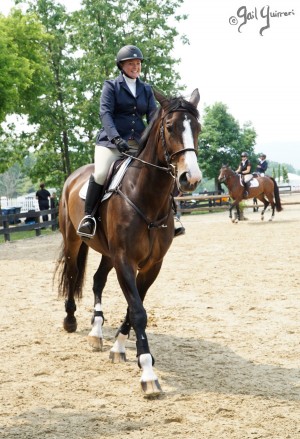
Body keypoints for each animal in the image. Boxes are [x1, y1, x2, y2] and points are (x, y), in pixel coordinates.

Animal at [55, 87, 203, 398]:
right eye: (169, 127)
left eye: (197, 128)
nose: (191, 178)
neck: (146, 195)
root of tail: (74, 176)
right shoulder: (125, 260)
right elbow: (137, 311)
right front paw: (147, 373)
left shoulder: (151, 264)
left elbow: (134, 306)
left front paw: (119, 346)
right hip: (74, 240)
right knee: (73, 274)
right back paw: (71, 320)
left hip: (107, 253)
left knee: (97, 280)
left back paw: (96, 330)